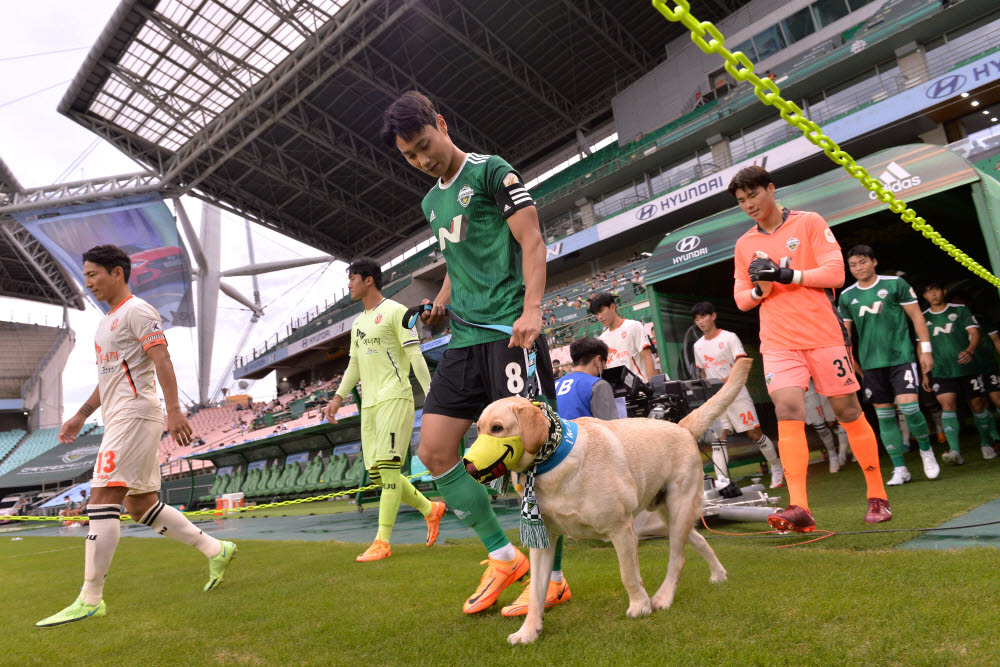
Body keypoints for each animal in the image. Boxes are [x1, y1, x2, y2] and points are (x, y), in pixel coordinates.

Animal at [476, 360, 752, 648]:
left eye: (497, 428)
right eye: (478, 429)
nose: (469, 466)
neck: (552, 459)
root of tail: (682, 427)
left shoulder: (621, 529)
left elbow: (627, 574)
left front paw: (640, 605)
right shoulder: (545, 540)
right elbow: (535, 594)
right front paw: (528, 631)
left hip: (678, 509)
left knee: (678, 558)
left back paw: (663, 597)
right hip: (669, 515)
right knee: (698, 540)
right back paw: (718, 573)